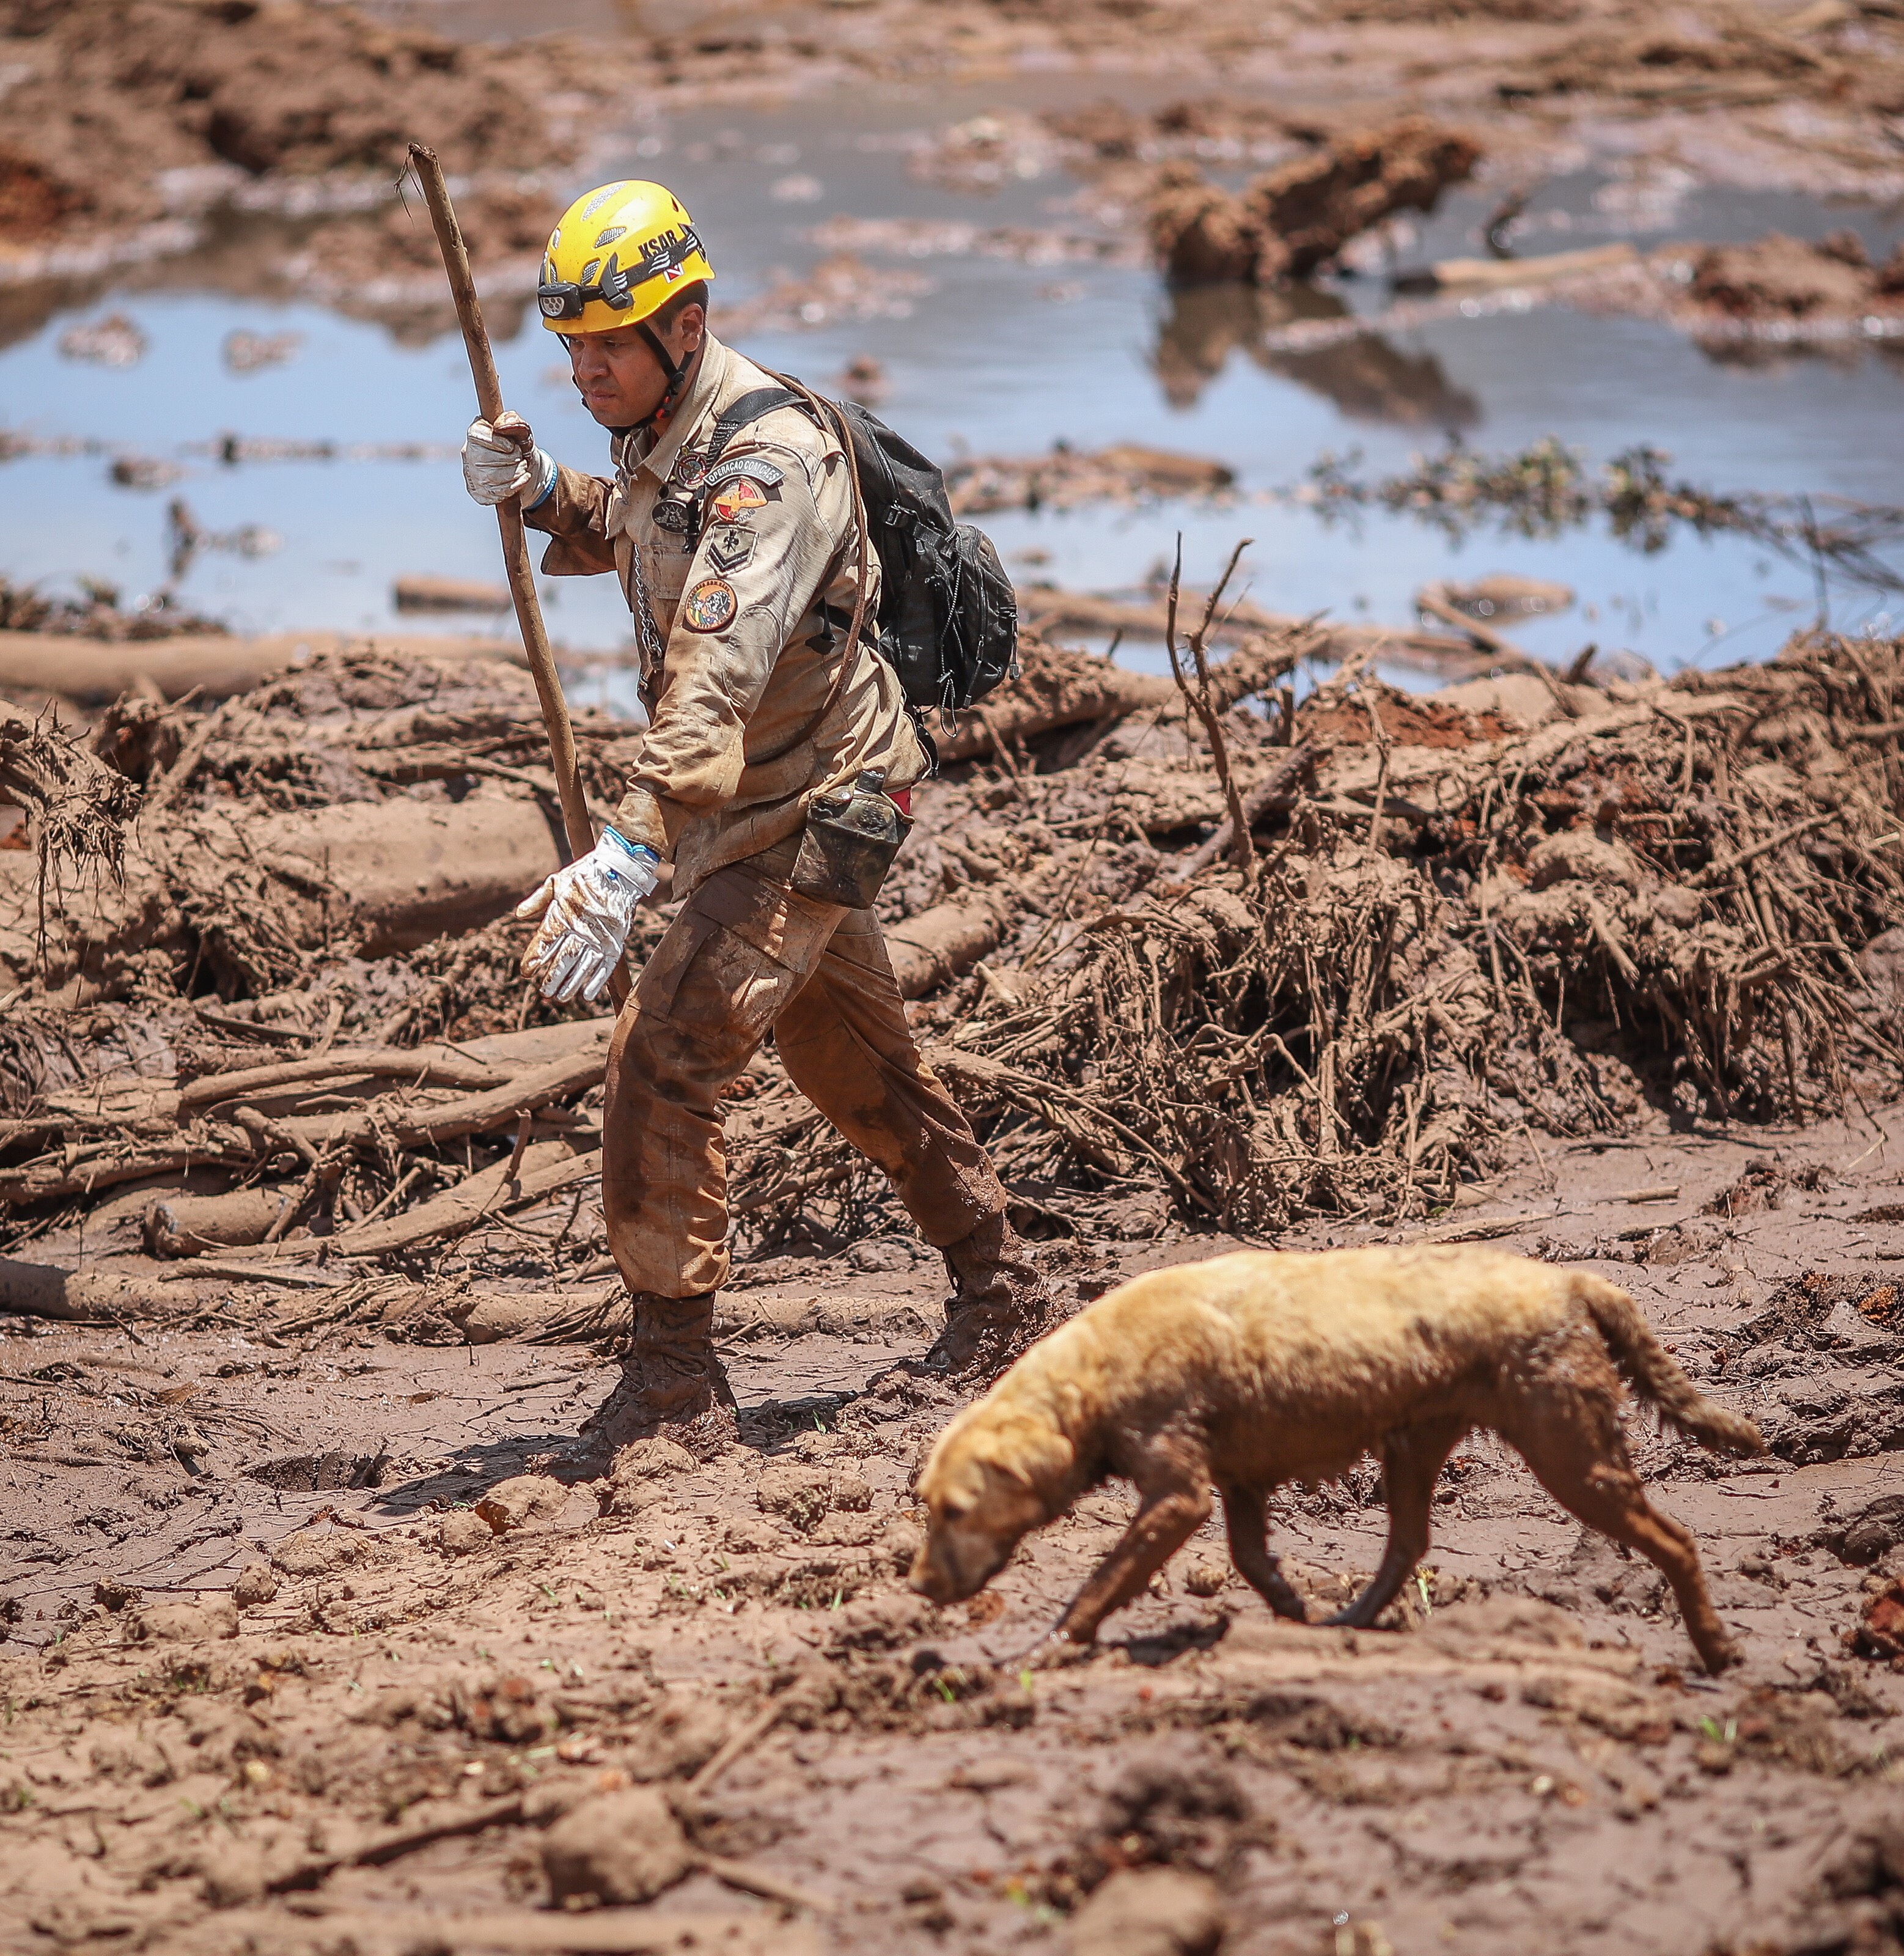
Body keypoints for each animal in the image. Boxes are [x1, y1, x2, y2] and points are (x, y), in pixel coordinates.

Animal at [916, 1244, 1761, 1674]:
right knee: (1407, 1544)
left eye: (955, 1508)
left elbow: (1100, 1583)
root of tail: (1572, 1279)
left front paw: (1043, 1649)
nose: (918, 1585)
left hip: (1569, 1455)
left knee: (1674, 1539)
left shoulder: (1179, 1494)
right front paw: (1292, 1610)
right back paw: (1350, 1620)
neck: (1089, 1374)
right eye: (924, 1505)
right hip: (1415, 1446)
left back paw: (1716, 1649)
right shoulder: (1240, 1482)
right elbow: (1251, 1557)